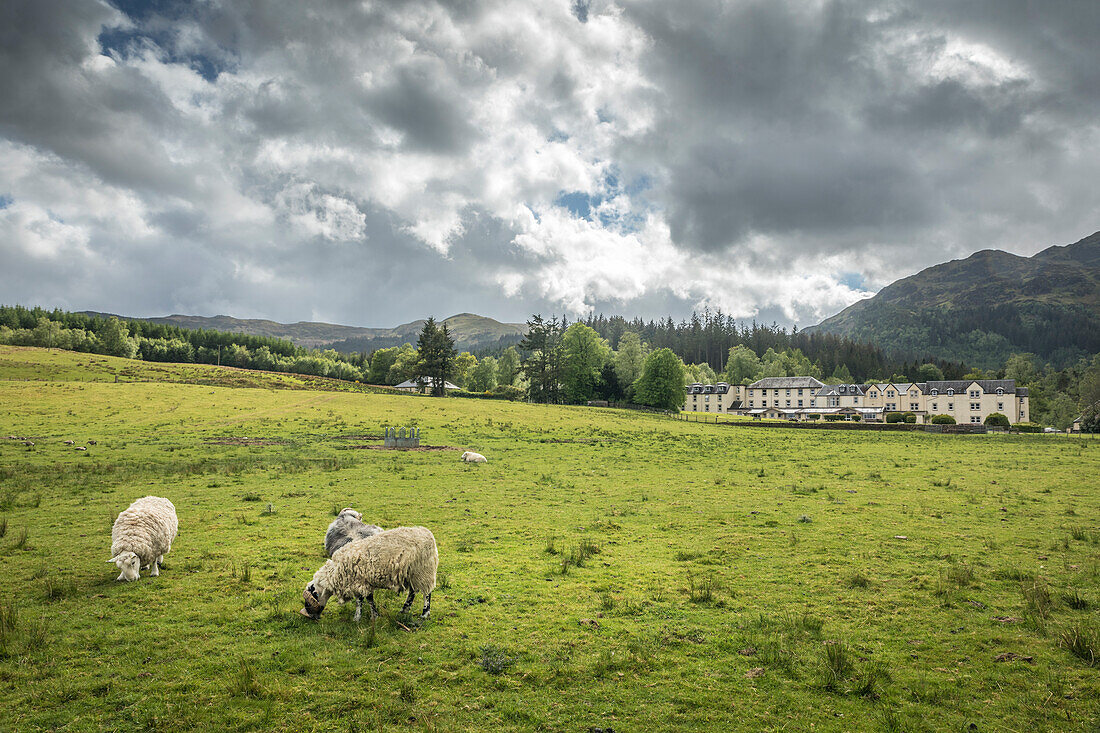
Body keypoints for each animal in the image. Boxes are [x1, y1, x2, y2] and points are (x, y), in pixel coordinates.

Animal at [303, 521, 440, 620]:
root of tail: (427, 533)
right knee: (412, 592)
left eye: (309, 603)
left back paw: (424, 614)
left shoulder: (360, 582)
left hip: (423, 571)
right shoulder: (362, 582)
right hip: (411, 574)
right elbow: (366, 599)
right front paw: (372, 615)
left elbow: (362, 600)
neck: (335, 573)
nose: (312, 617)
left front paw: (359, 617)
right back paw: (404, 610)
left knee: (426, 593)